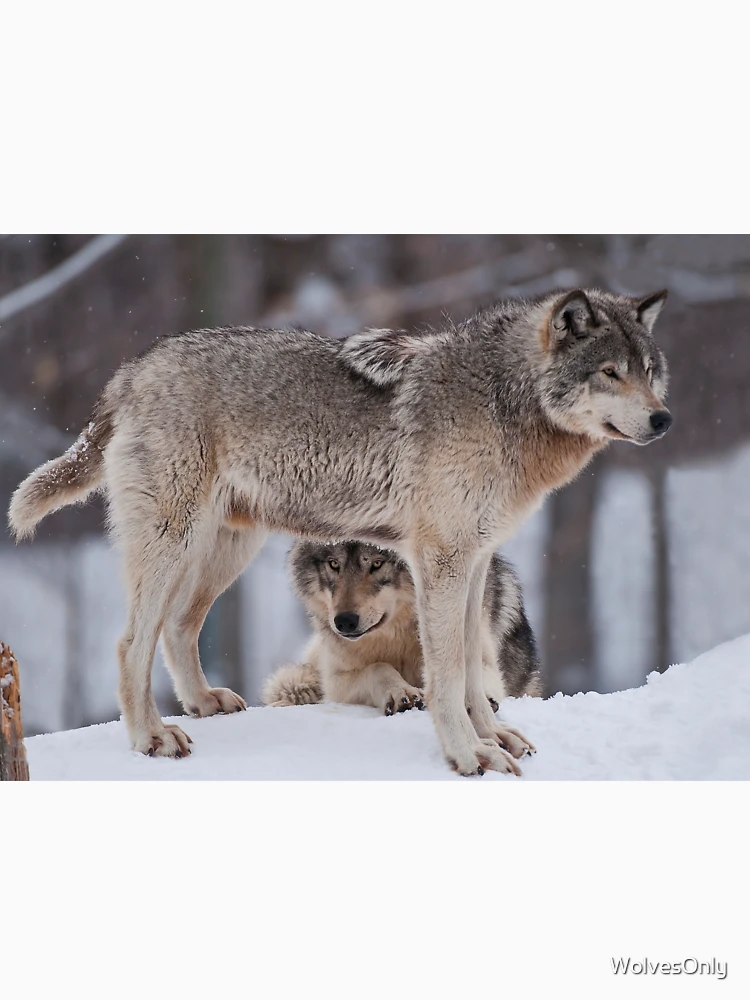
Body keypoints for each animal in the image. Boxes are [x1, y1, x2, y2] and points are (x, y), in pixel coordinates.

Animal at [263, 542, 541, 733]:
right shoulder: (336, 681)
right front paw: (401, 693)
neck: (397, 636)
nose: (344, 621)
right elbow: (378, 667)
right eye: (333, 564)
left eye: (377, 564)